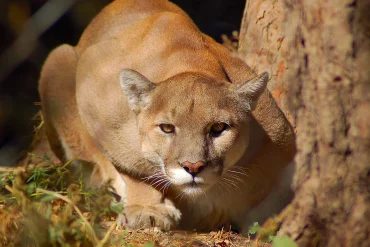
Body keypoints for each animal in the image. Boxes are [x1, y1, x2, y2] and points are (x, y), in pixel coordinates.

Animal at [39, 0, 294, 233]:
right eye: (167, 128)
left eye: (218, 128)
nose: (193, 167)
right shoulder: (94, 98)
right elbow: (133, 169)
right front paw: (147, 210)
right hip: (59, 58)